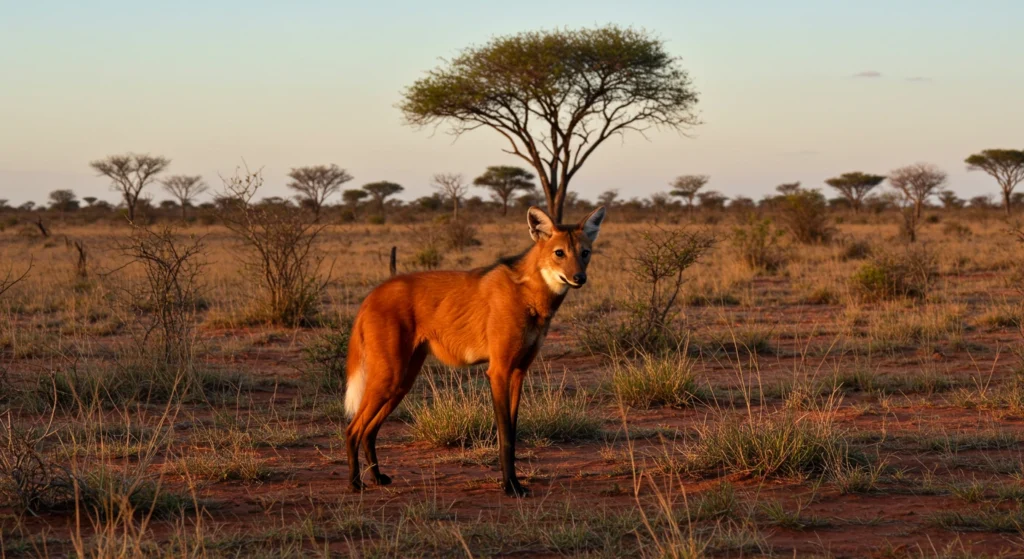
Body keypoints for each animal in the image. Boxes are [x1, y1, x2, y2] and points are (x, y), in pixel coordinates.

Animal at [344, 204, 602, 491]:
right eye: (559, 253)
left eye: (585, 253)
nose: (579, 277)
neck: (529, 296)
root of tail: (373, 294)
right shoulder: (499, 371)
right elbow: (505, 435)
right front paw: (510, 486)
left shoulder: (518, 372)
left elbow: (512, 431)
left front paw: (512, 482)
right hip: (389, 377)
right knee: (352, 430)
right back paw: (355, 483)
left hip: (402, 382)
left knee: (369, 430)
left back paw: (377, 477)